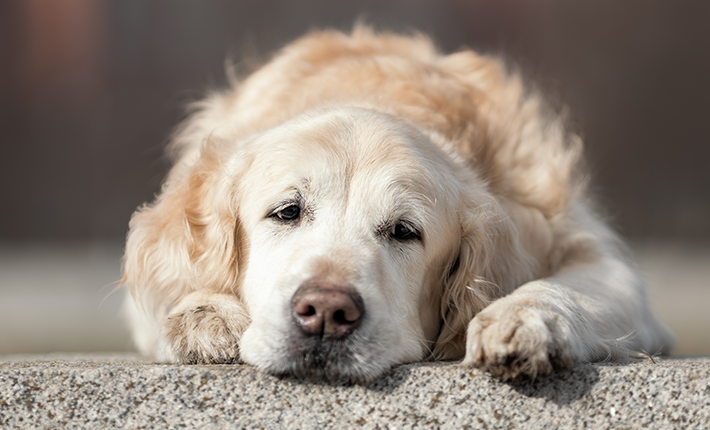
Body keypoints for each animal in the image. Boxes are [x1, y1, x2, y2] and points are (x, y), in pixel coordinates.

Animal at [124, 26, 680, 382]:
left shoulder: (602, 263)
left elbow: (562, 288)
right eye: (287, 211)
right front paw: (203, 314)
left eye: (404, 231)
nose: (325, 313)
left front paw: (520, 320)